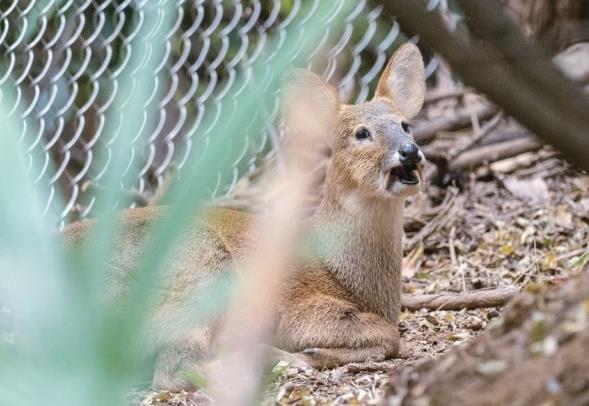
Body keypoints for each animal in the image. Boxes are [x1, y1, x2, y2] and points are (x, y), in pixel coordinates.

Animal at [62, 42, 424, 390]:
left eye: (406, 125)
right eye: (362, 133)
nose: (410, 152)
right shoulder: (297, 307)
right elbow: (388, 335)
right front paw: (306, 353)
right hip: (196, 265)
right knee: (174, 370)